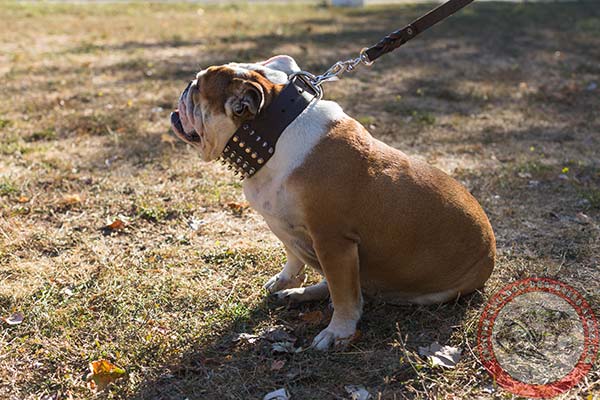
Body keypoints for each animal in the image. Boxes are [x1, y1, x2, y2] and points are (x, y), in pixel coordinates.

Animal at [170, 55, 496, 350]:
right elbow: (294, 257)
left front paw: (339, 331)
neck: (275, 134)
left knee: (353, 289)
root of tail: (491, 252)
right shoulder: (288, 230)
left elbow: (344, 295)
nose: (185, 86)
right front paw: (286, 281)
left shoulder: (333, 242)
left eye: (198, 87)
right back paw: (299, 294)